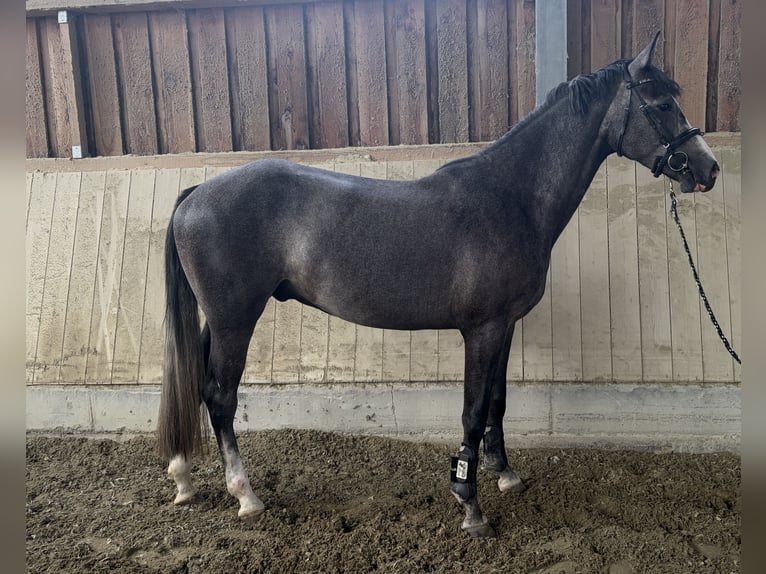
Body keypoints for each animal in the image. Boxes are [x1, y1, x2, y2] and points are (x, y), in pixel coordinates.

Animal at [157, 33, 719, 538]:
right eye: (663, 103)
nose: (709, 168)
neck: (509, 198)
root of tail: (195, 194)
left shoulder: (505, 327)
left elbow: (497, 400)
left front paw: (505, 474)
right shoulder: (482, 330)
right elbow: (471, 411)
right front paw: (470, 507)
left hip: (220, 319)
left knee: (195, 379)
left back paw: (183, 476)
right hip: (237, 318)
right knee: (220, 395)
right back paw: (245, 495)